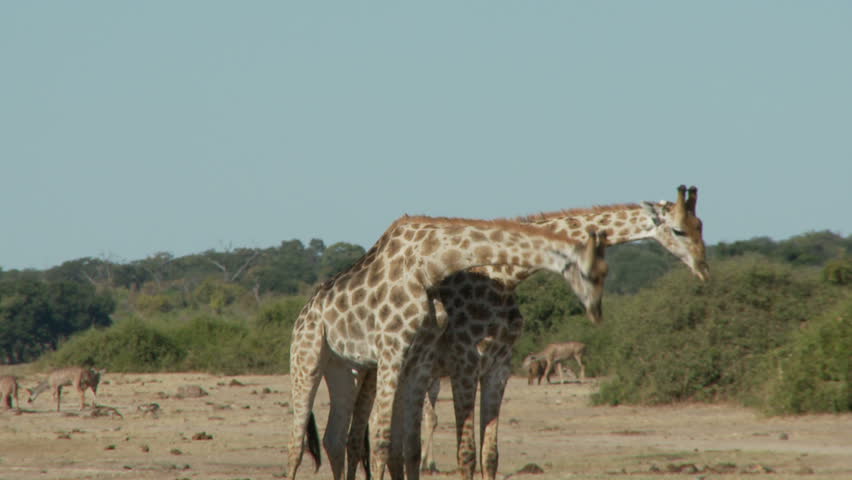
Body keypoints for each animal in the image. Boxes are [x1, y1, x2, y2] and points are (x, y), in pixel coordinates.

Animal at [287, 215, 608, 480]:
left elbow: (418, 447)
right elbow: (389, 441)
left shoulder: (433, 362)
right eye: (593, 273)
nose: (596, 312)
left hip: (346, 370)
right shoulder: (420, 355)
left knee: (336, 438)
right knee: (300, 442)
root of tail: (304, 311)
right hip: (308, 358)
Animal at [346, 185, 708, 480]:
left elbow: (490, 455)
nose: (703, 268)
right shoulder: (465, 364)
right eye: (679, 230)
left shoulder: (499, 365)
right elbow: (466, 455)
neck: (505, 277)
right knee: (365, 430)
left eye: (701, 226)